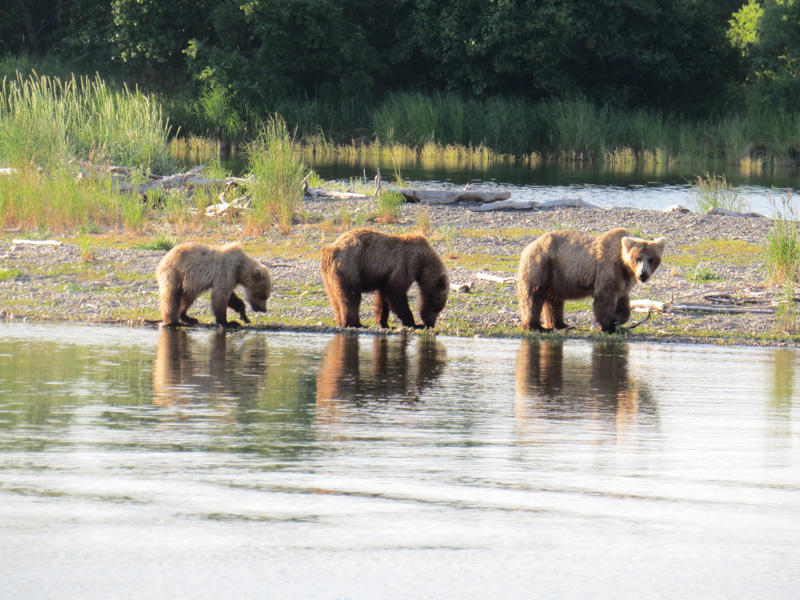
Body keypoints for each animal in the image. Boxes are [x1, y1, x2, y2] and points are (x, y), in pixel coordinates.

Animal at [320, 227, 450, 328]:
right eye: (436, 307)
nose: (431, 324)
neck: (422, 263)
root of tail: (329, 249)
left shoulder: (386, 276)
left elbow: (383, 299)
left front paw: (384, 323)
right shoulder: (406, 264)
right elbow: (395, 293)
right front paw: (413, 323)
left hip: (329, 276)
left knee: (335, 298)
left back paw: (341, 322)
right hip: (349, 266)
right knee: (350, 296)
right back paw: (355, 323)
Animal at [516, 229, 664, 332]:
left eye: (651, 259)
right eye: (637, 258)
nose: (643, 274)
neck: (624, 266)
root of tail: (529, 246)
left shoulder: (623, 280)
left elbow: (623, 301)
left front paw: (617, 319)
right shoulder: (608, 267)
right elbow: (604, 297)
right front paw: (607, 326)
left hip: (555, 276)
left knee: (554, 299)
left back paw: (561, 325)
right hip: (541, 264)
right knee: (533, 295)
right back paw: (535, 326)